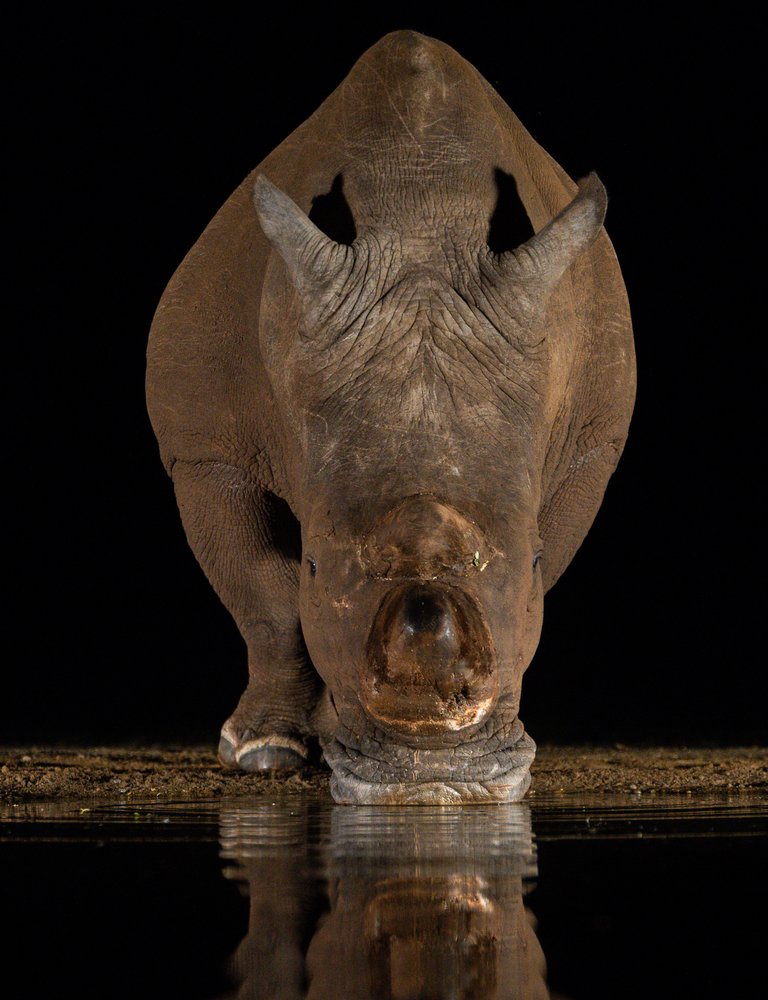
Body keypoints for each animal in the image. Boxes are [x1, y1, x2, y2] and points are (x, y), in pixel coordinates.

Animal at [146, 30, 635, 804]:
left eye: (530, 559)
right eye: (314, 563)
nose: (430, 783)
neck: (421, 217)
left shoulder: (592, 446)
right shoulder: (204, 447)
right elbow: (262, 591)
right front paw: (263, 753)